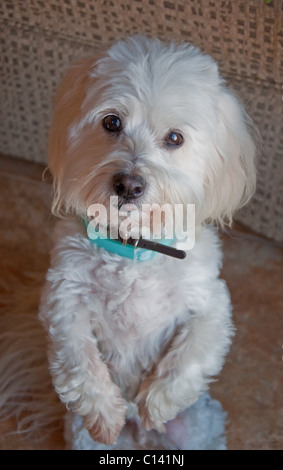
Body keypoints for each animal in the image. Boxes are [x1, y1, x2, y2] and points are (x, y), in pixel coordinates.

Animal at [38, 35, 258, 448]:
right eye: (112, 122)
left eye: (175, 138)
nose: (128, 185)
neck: (133, 246)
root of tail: (140, 441)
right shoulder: (65, 297)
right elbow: (77, 357)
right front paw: (106, 412)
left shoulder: (211, 304)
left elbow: (190, 357)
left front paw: (154, 405)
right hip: (81, 438)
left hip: (197, 428)